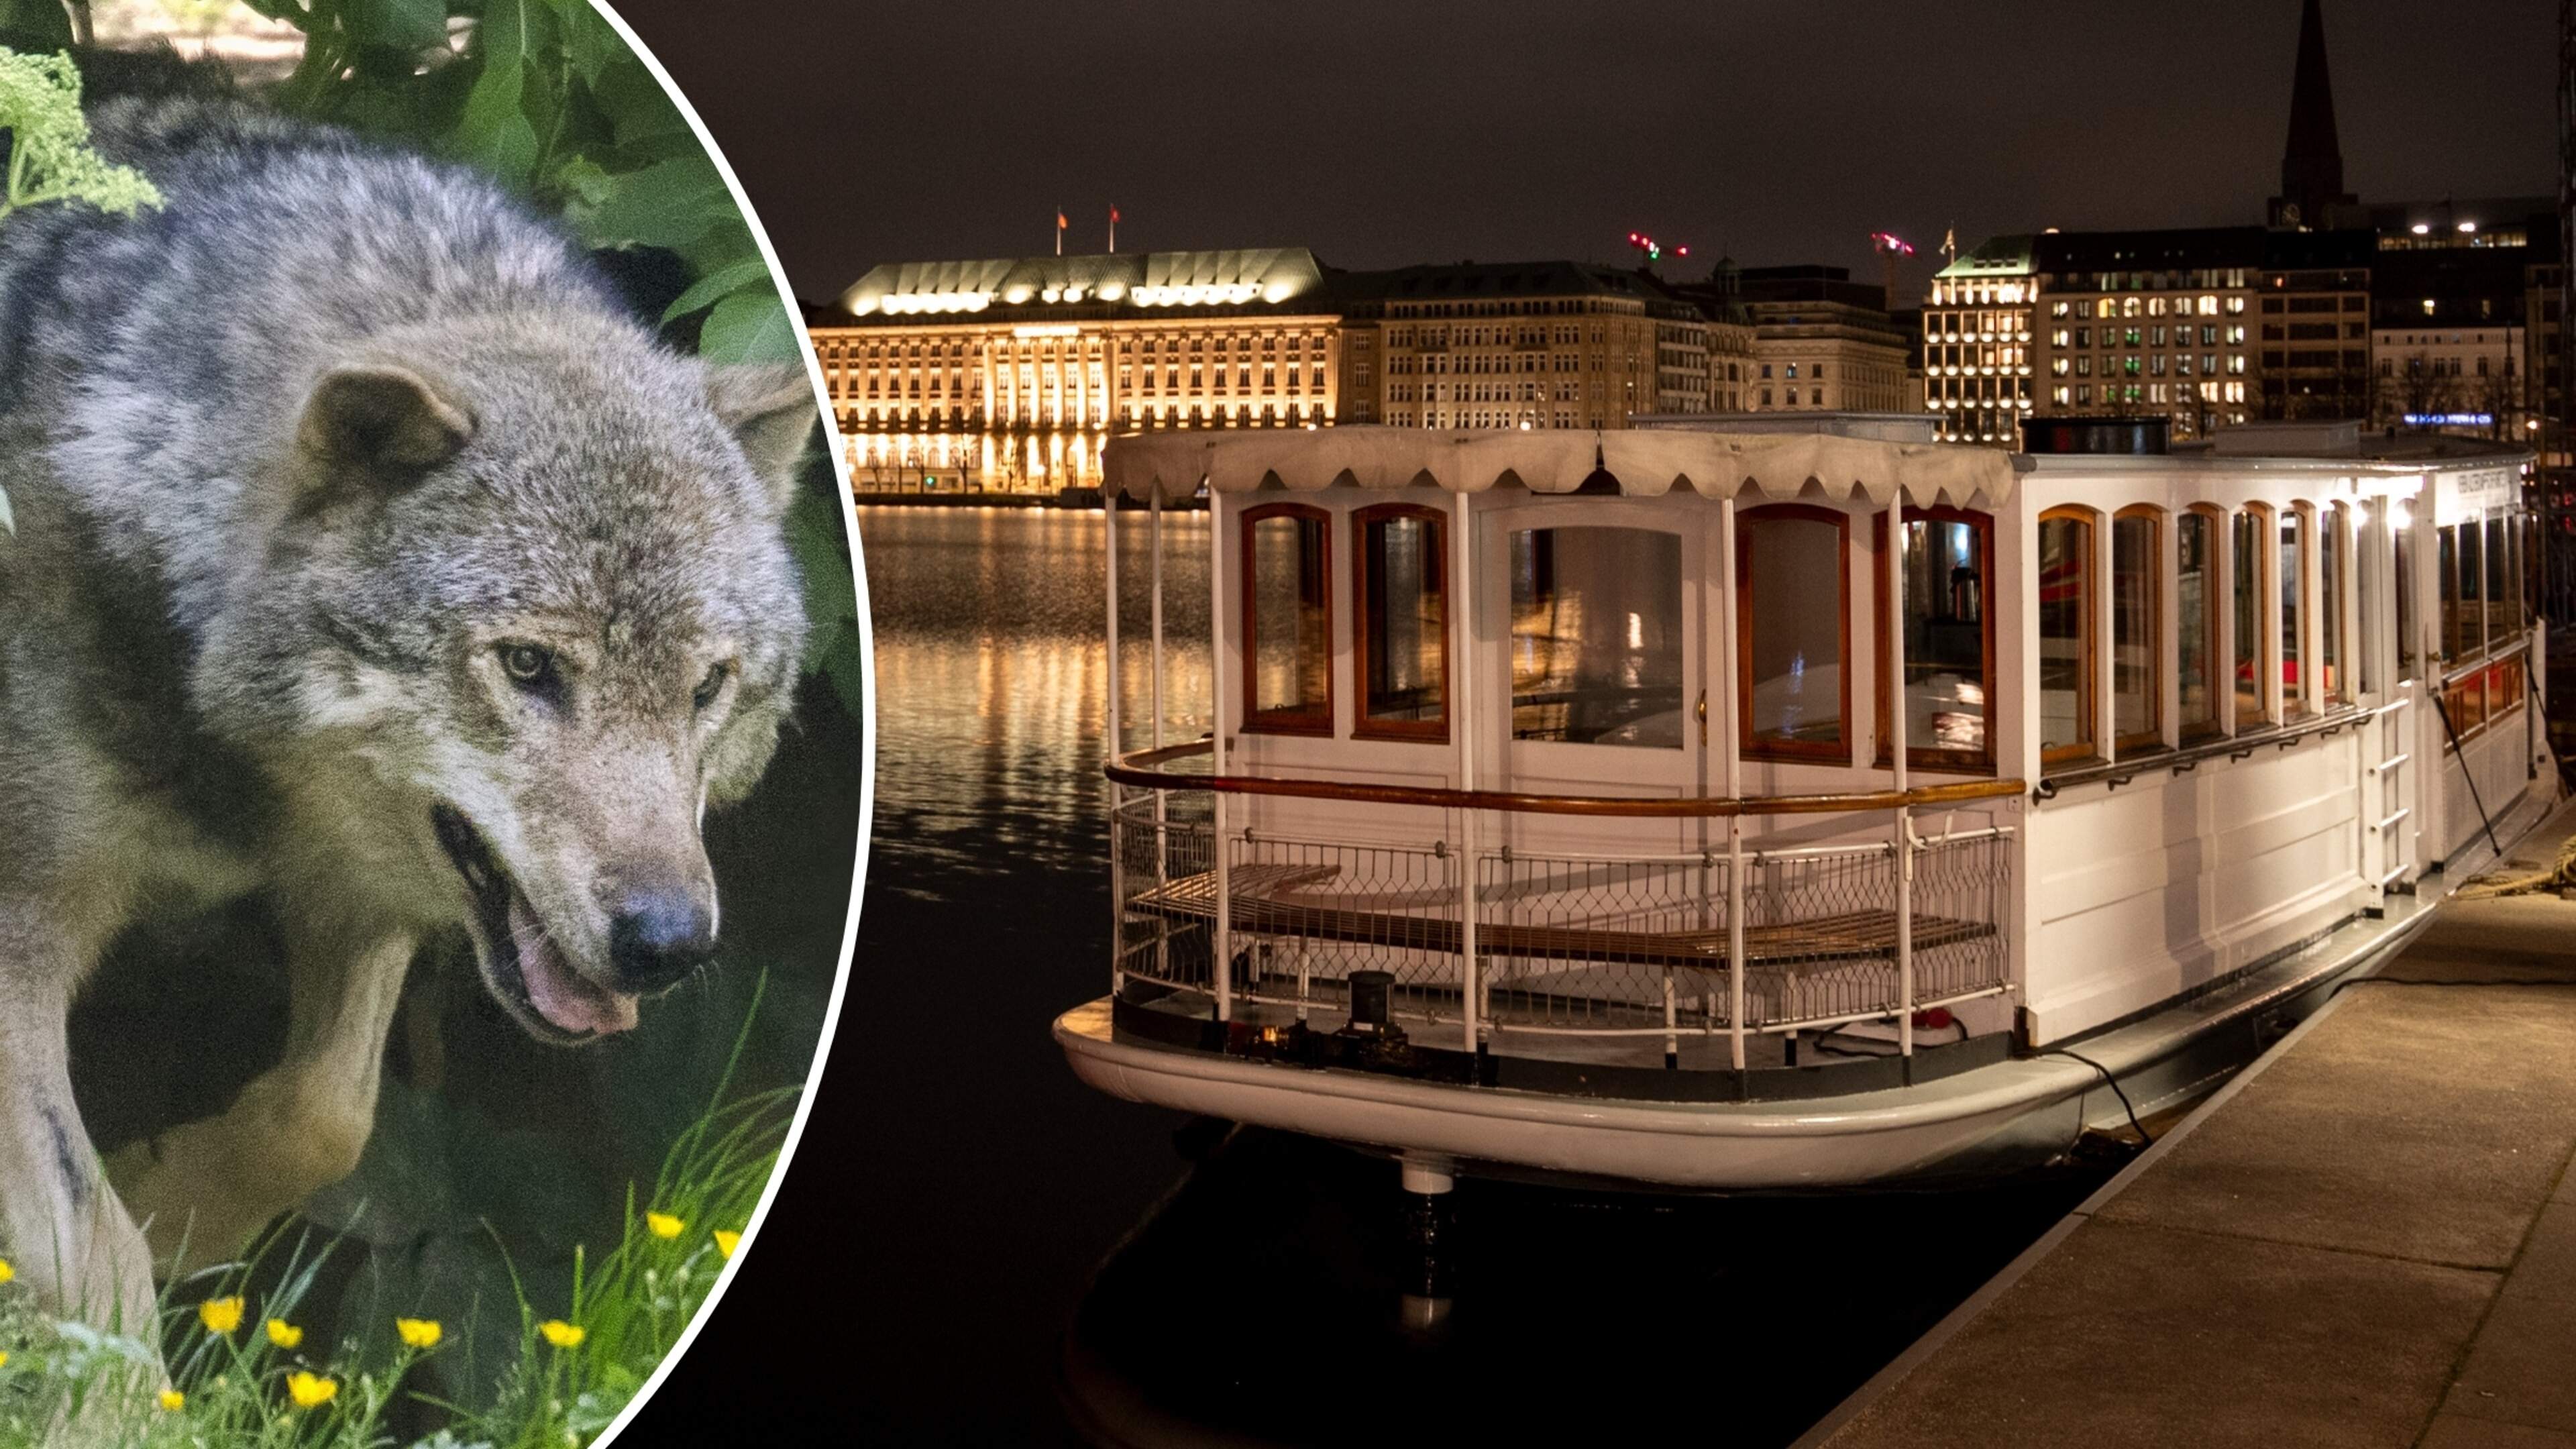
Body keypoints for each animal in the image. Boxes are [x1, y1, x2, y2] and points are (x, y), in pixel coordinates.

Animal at [0, 86, 815, 1336]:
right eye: (529, 667)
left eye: (705, 688)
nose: (671, 945)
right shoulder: (24, 929)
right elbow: (89, 1260)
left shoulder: (365, 894)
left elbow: (327, 1119)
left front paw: (175, 1207)